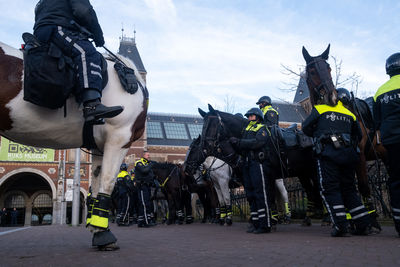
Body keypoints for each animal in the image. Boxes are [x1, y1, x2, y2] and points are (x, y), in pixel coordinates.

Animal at [0, 40, 148, 250]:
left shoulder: (98, 146)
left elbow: (95, 188)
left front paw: (97, 231)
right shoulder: (119, 136)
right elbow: (107, 183)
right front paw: (104, 235)